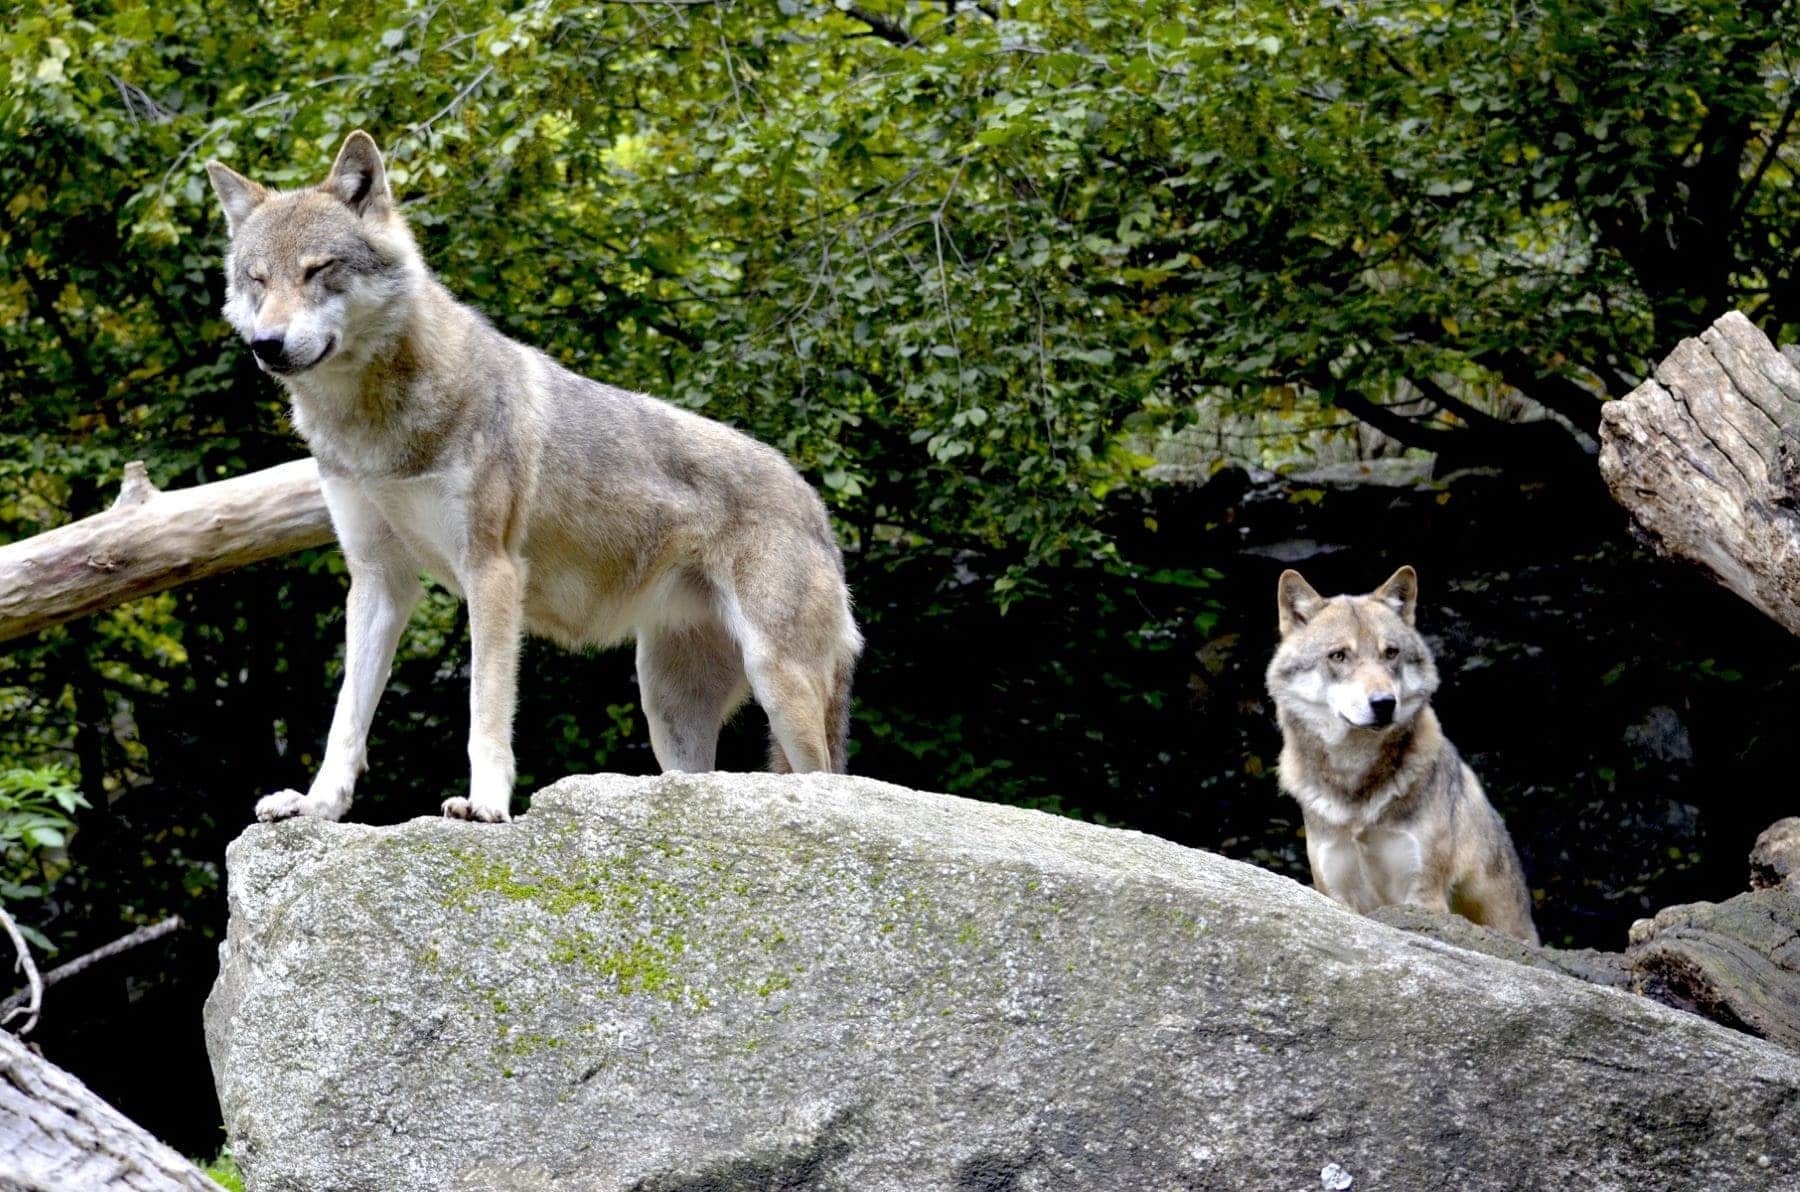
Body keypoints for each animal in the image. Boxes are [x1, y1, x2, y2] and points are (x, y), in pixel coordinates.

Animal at [206, 131, 862, 825]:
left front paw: (486, 804)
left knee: (828, 776)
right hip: (666, 709)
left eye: (317, 269)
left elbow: (485, 710)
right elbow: (346, 719)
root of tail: (816, 506)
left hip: (777, 682)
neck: (375, 428)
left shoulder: (492, 571)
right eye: (257, 279)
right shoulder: (379, 579)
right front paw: (317, 805)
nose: (267, 344)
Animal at [1263, 566, 1537, 943]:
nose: (1384, 703)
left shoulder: (1422, 896)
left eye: (1390, 653)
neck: (1356, 792)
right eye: (1339, 656)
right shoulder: (1336, 895)